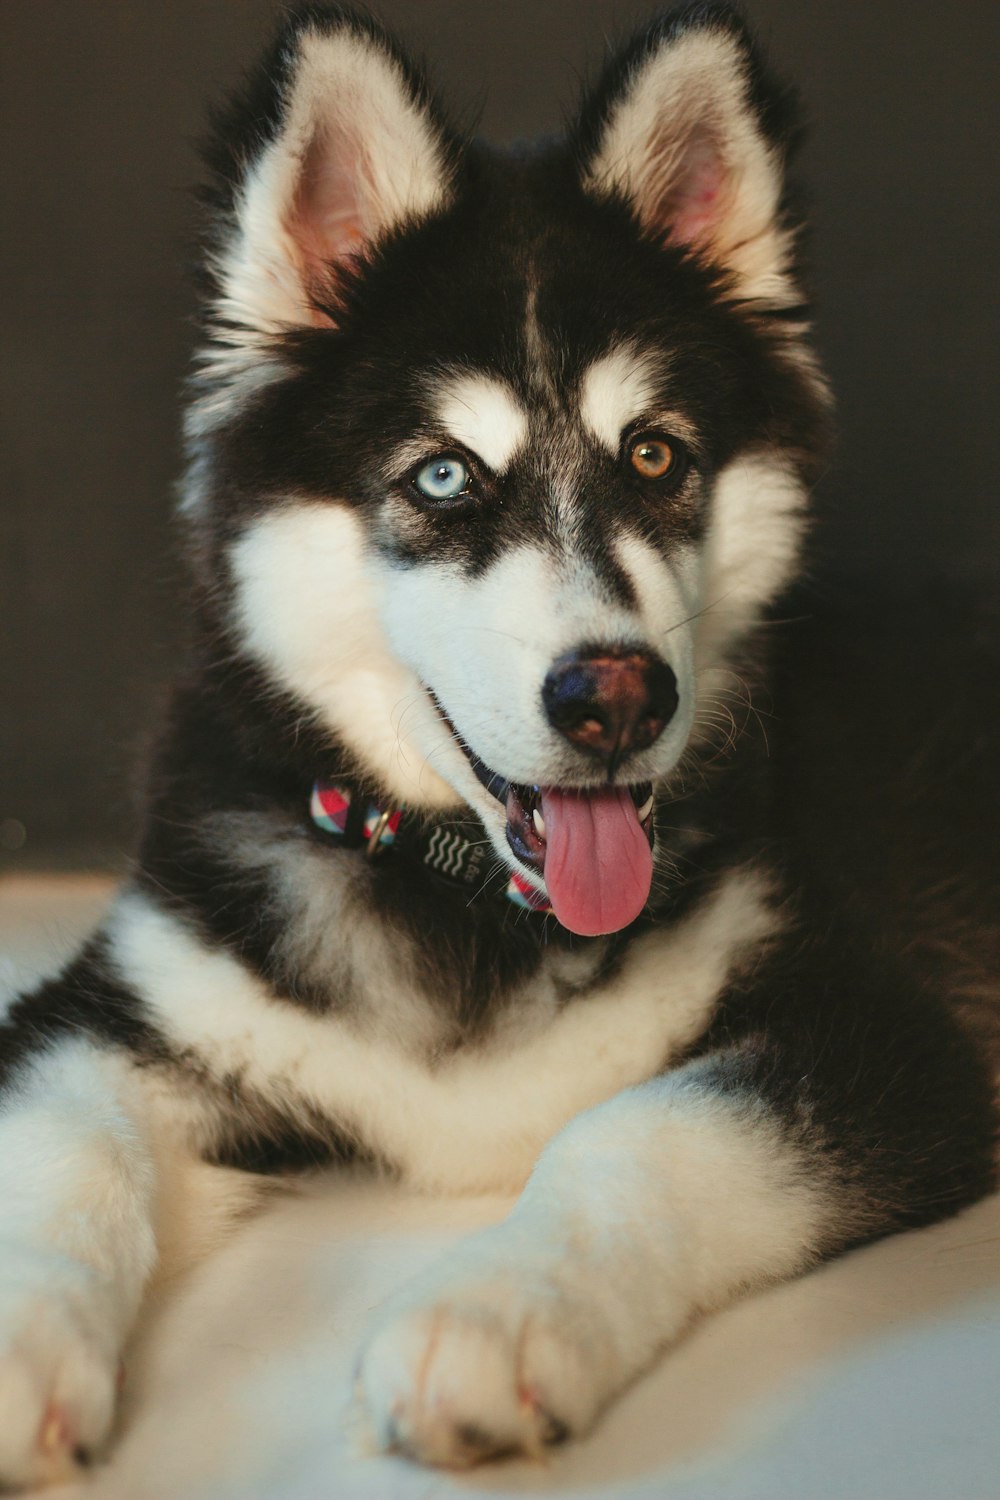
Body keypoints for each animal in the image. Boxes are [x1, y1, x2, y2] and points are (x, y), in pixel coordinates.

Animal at [1, 0, 1000, 1476]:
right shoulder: (126, 1005)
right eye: (443, 477)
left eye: (654, 457)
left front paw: (491, 1315)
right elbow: (62, 1147)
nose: (619, 698)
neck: (467, 892)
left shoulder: (889, 1036)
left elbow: (641, 1128)